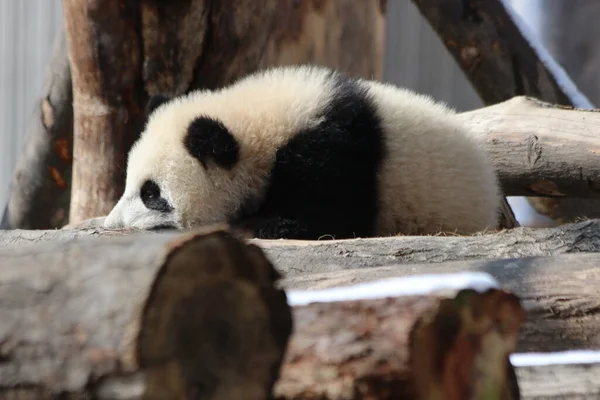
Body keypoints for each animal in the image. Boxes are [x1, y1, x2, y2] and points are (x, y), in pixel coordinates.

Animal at [103, 64, 502, 239]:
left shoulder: (334, 151)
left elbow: (333, 216)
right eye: (128, 184)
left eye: (151, 194)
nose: (112, 224)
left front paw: (259, 223)